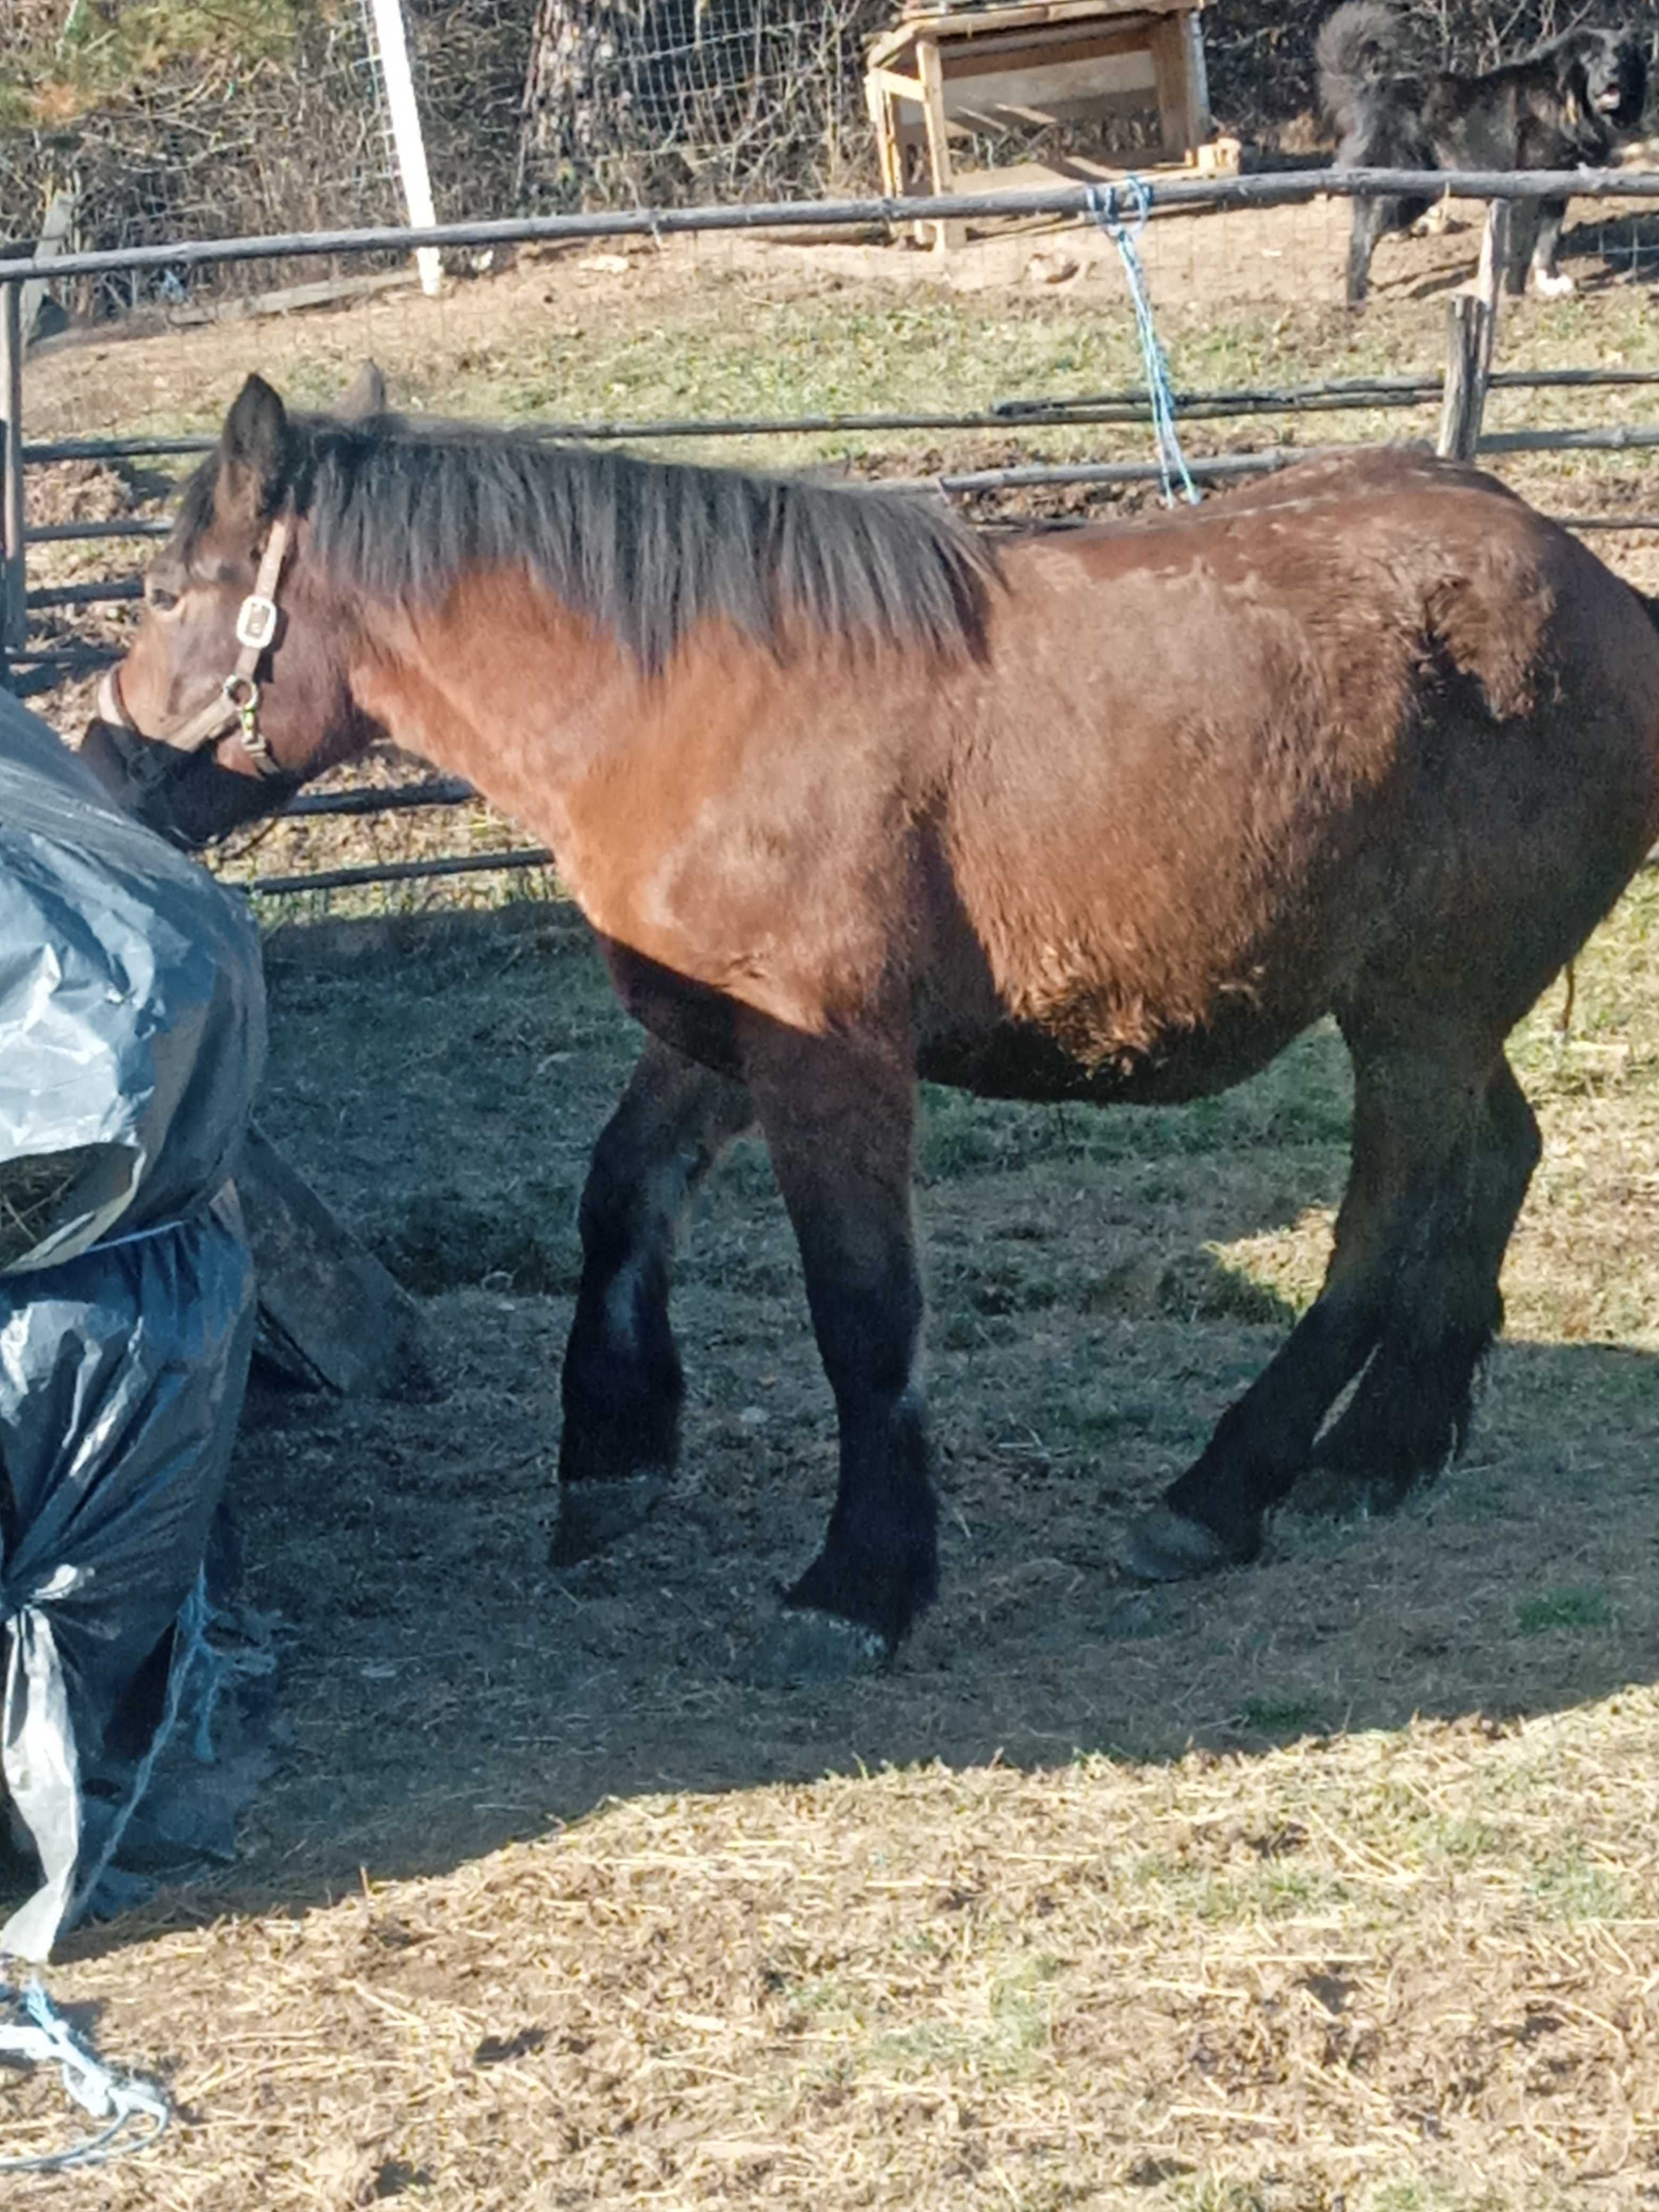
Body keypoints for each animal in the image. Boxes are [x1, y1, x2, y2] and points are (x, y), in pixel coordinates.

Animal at [85, 376, 1659, 1672]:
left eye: (163, 592)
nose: (103, 758)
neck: (689, 707)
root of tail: (1596, 587)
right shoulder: (714, 1041)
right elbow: (620, 1201)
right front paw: (610, 1457)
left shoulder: (828, 1060)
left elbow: (861, 1312)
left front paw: (860, 1581)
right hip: (1440, 1011)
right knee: (1494, 1163)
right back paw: (1381, 1453)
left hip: (1418, 1012)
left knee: (1382, 1226)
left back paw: (1222, 1494)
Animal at [1318, 2, 1654, 305]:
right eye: (1593, 57)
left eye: (1622, 56)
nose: (1613, 71)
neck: (1566, 101)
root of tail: (1372, 89)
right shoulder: (1527, 191)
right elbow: (1521, 248)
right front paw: (1516, 294)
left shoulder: (1559, 191)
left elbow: (1548, 242)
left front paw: (1550, 283)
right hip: (1399, 194)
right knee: (1360, 241)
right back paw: (1357, 299)